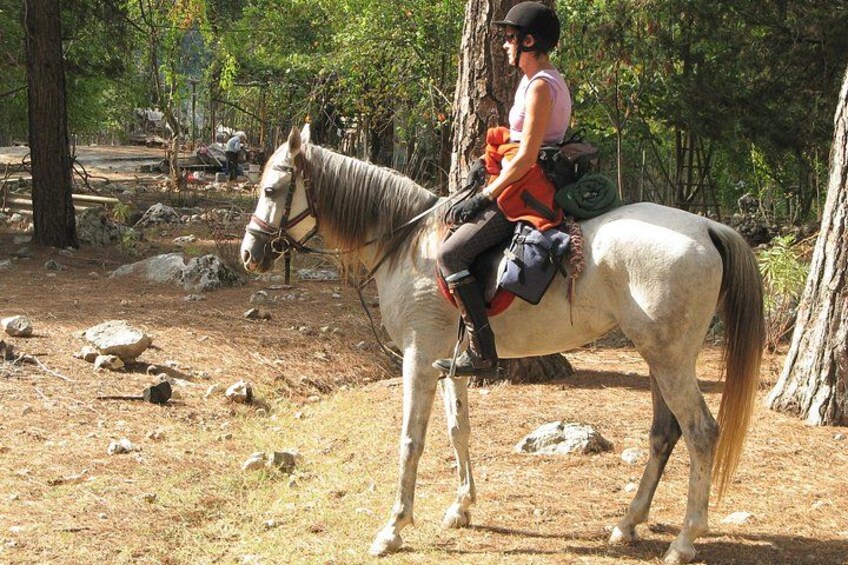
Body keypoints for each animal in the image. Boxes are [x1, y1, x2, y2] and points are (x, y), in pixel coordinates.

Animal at [240, 125, 764, 565]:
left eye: (270, 191)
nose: (250, 253)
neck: (409, 244)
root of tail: (706, 228)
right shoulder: (448, 362)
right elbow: (459, 431)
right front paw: (461, 507)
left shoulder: (418, 359)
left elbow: (411, 440)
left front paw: (394, 527)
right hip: (658, 359)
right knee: (664, 434)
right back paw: (628, 523)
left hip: (670, 361)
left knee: (701, 433)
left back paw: (684, 540)